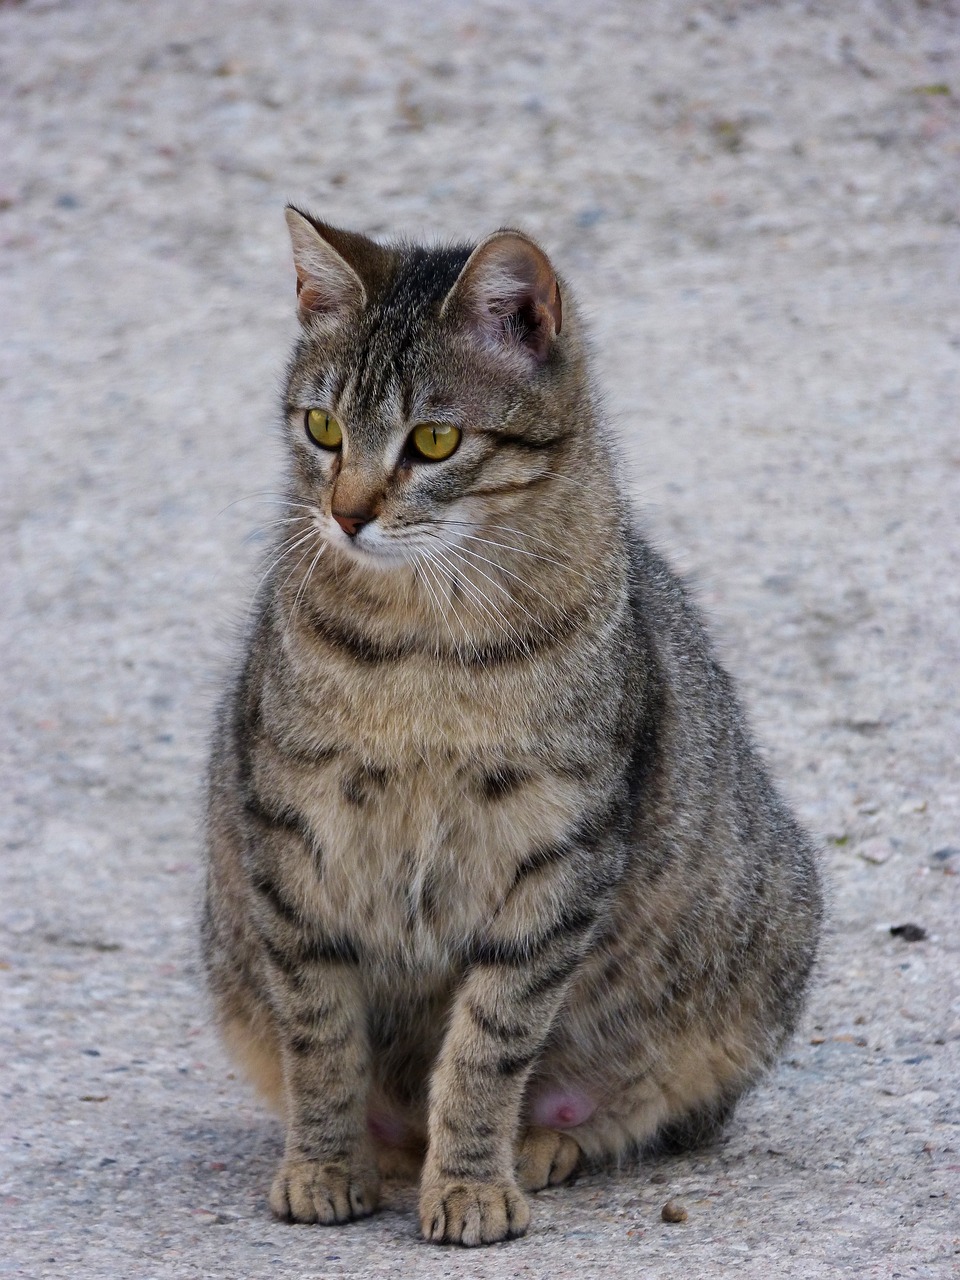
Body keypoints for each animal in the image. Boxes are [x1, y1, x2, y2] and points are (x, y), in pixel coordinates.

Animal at [199, 204, 824, 1244]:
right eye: (322, 427)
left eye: (434, 440)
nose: (345, 515)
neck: (420, 642)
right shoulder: (289, 834)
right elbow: (321, 1038)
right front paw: (325, 1164)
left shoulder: (556, 850)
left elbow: (488, 1045)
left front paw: (470, 1183)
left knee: (647, 1110)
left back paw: (542, 1145)